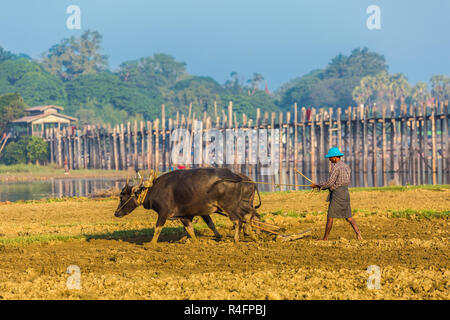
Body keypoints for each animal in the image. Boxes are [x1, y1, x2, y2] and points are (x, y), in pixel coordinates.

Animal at [114, 166, 260, 244]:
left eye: (122, 196)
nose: (116, 213)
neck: (154, 189)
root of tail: (236, 176)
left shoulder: (163, 213)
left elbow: (157, 228)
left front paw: (151, 244)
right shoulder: (186, 215)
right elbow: (191, 229)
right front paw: (194, 242)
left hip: (230, 206)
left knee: (239, 220)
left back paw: (237, 239)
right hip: (239, 204)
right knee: (249, 216)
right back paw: (252, 235)